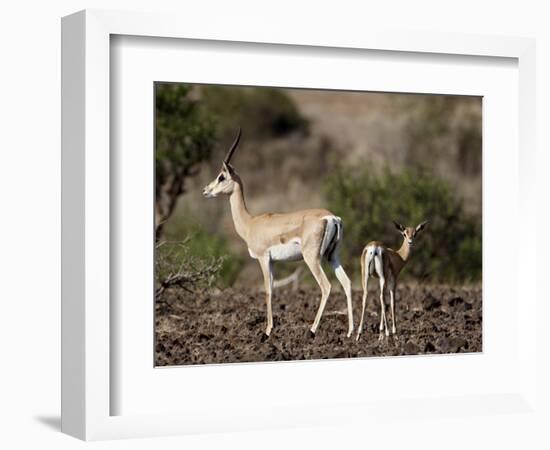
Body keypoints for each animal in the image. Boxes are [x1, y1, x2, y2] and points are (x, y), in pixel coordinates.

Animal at [205, 128, 356, 336]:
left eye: (221, 176)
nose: (206, 190)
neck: (250, 223)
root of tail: (332, 217)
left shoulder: (262, 258)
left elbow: (268, 290)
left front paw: (268, 330)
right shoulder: (273, 262)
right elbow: (273, 289)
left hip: (312, 258)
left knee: (326, 286)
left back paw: (312, 329)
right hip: (332, 256)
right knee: (347, 283)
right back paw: (351, 332)